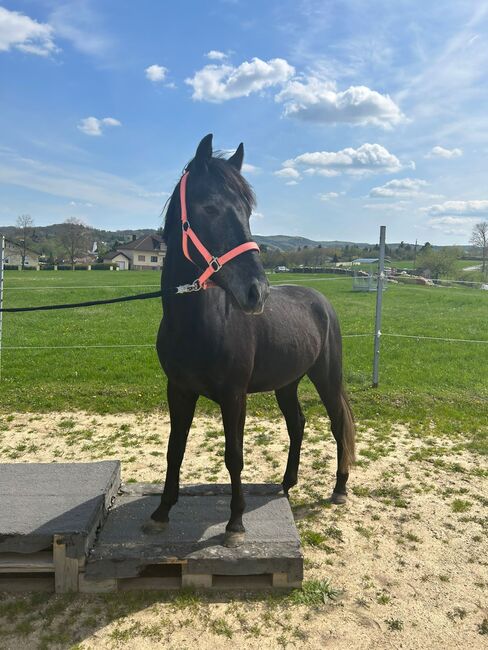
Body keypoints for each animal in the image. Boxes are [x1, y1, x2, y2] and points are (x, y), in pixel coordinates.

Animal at [143, 134, 356, 544]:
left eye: (247, 211)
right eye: (210, 207)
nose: (257, 292)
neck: (197, 324)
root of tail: (321, 301)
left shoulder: (233, 395)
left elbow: (234, 456)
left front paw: (235, 524)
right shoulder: (178, 391)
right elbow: (175, 450)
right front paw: (161, 512)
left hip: (326, 376)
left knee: (337, 423)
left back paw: (339, 488)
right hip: (287, 383)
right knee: (298, 423)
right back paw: (286, 483)